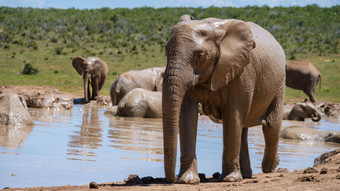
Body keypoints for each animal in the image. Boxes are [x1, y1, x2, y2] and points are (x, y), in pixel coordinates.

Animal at [163, 15, 286, 184]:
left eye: (200, 55)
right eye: (166, 51)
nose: (173, 178)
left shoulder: (242, 72)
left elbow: (232, 116)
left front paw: (229, 179)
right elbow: (187, 115)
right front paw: (187, 180)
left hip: (280, 81)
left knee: (271, 125)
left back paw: (269, 167)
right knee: (243, 128)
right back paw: (246, 174)